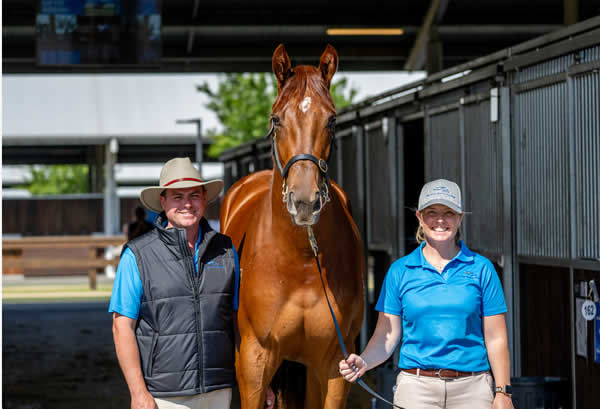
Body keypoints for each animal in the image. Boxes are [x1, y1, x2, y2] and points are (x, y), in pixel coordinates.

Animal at [219, 44, 364, 408]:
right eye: (276, 119)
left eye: (332, 119)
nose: (304, 202)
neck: (301, 264)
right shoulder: (254, 362)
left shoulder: (334, 364)